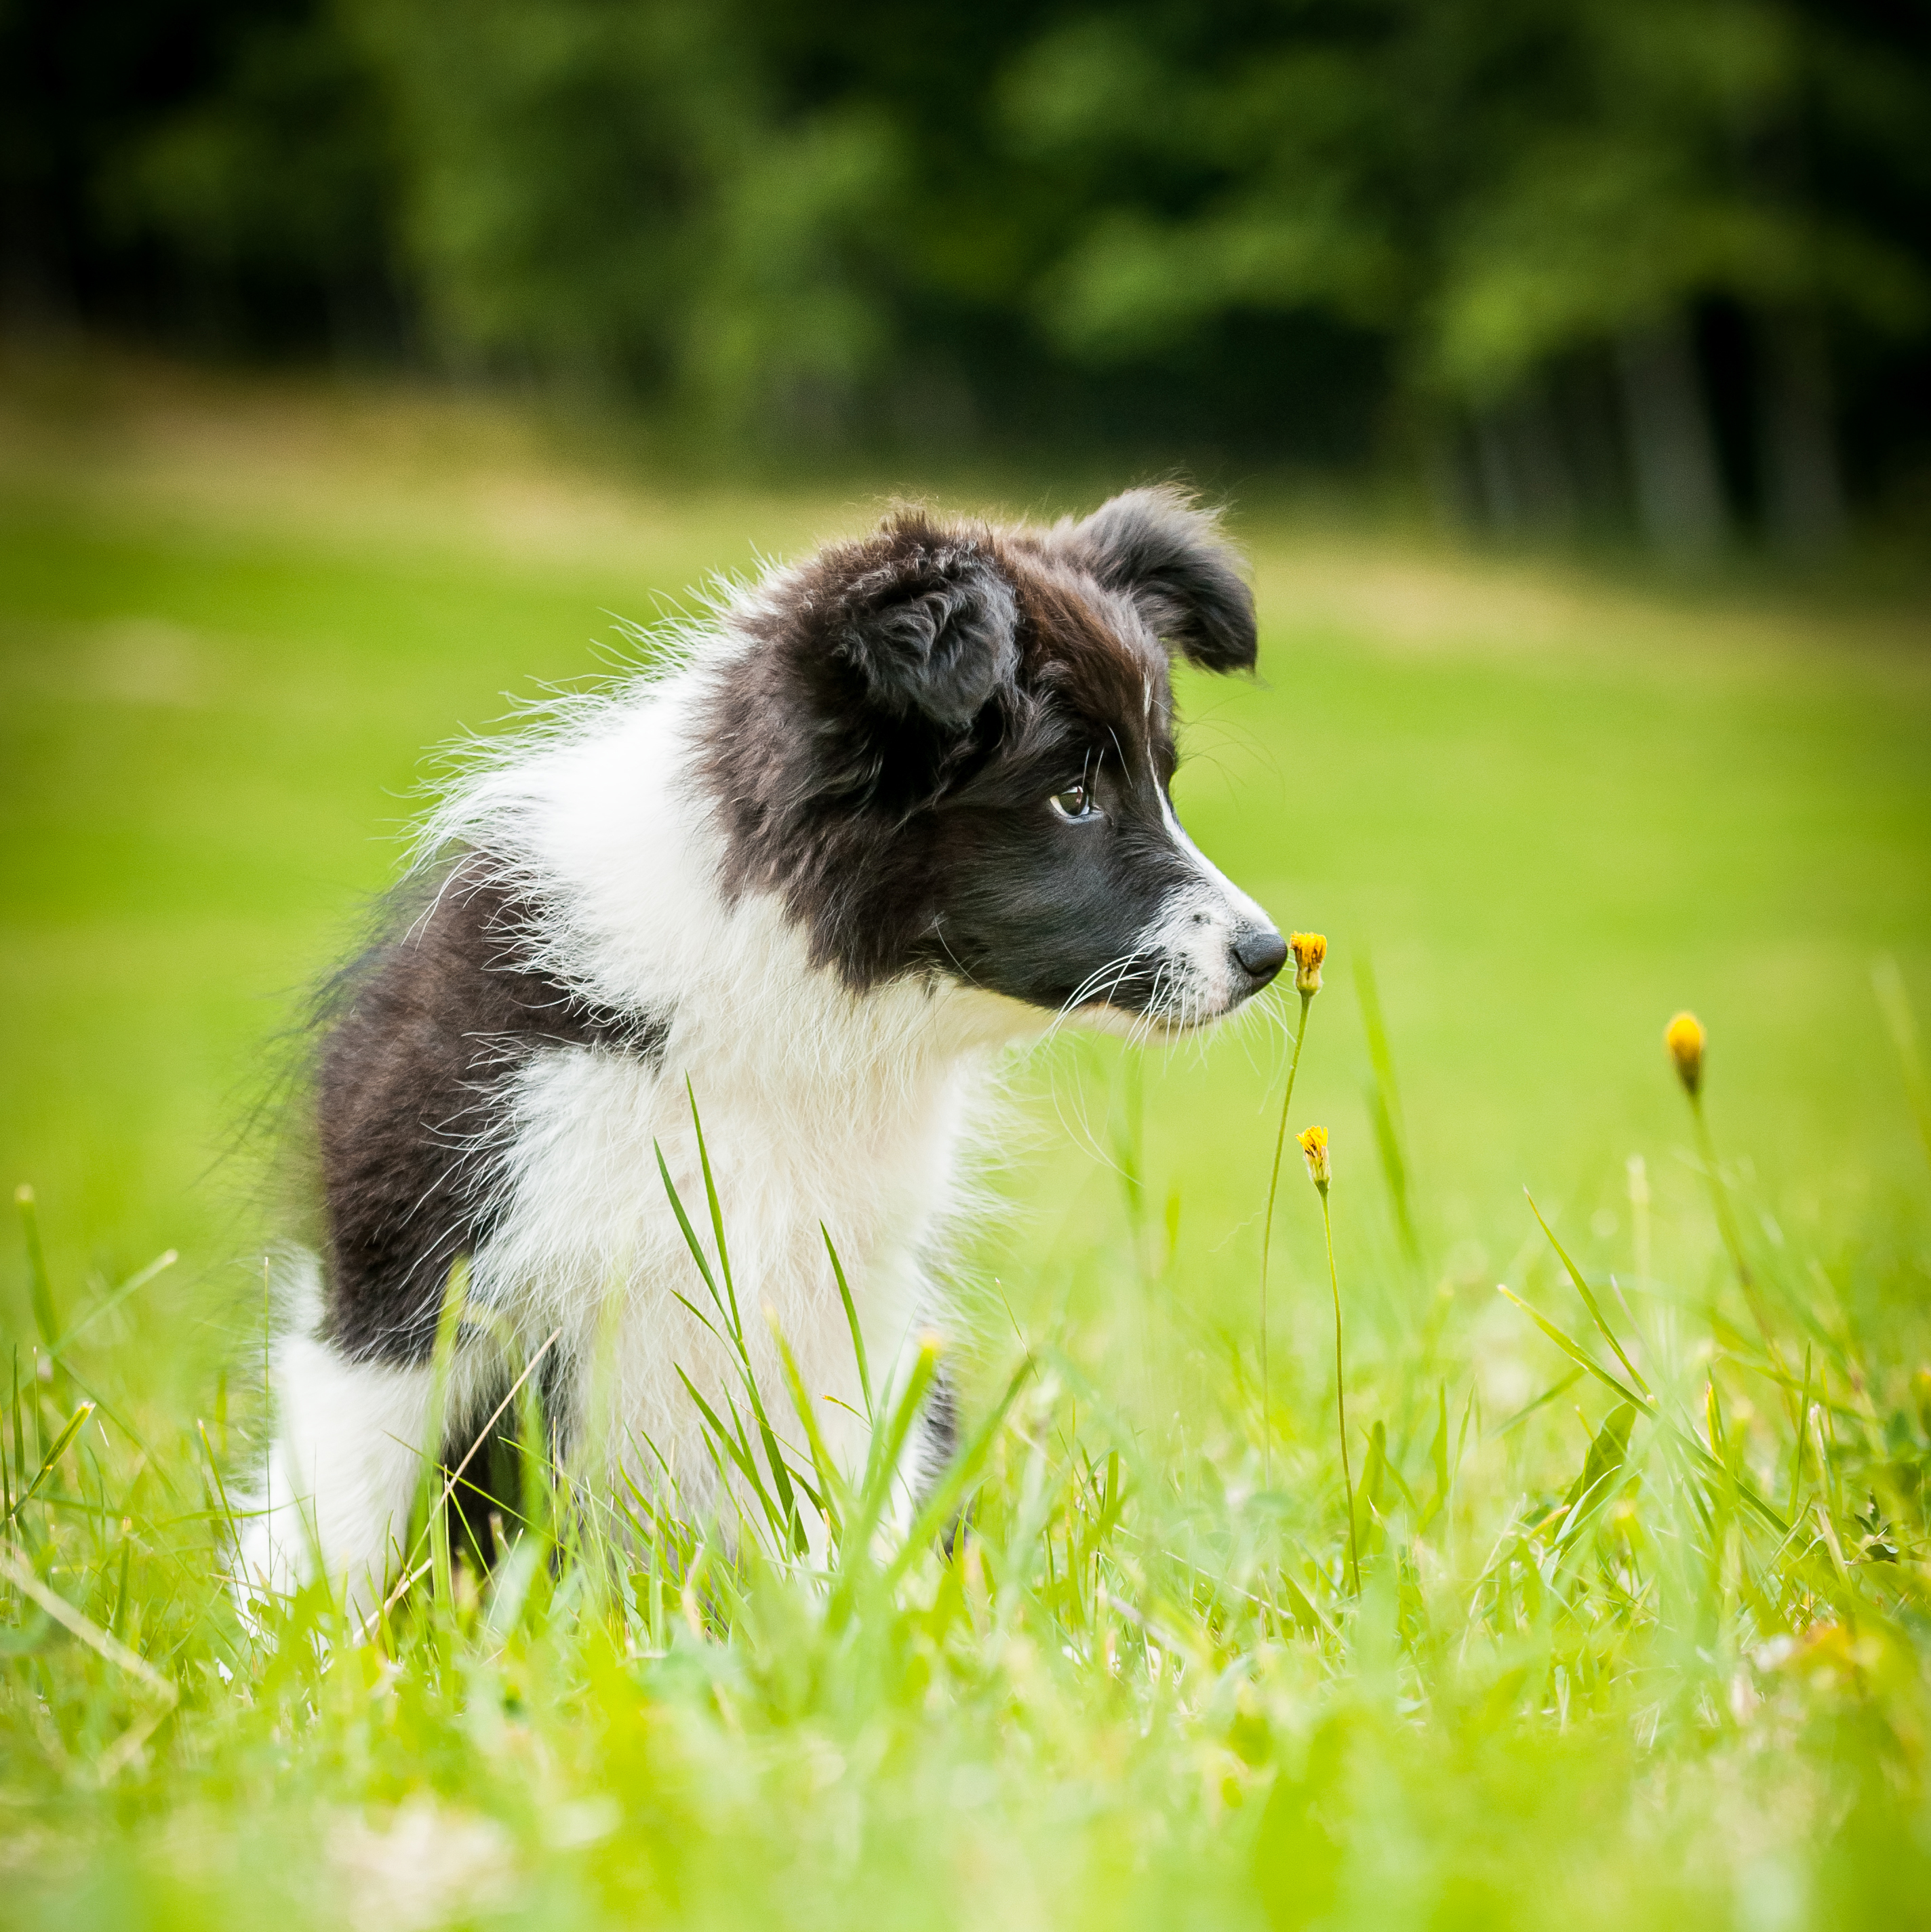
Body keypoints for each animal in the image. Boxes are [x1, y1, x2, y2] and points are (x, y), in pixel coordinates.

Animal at [241, 490, 1283, 1607]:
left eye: (1161, 779)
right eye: (1074, 796)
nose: (1268, 954)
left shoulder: (847, 1302)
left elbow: (845, 1505)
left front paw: (855, 1625)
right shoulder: (408, 1264)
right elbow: (336, 1511)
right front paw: (294, 1636)